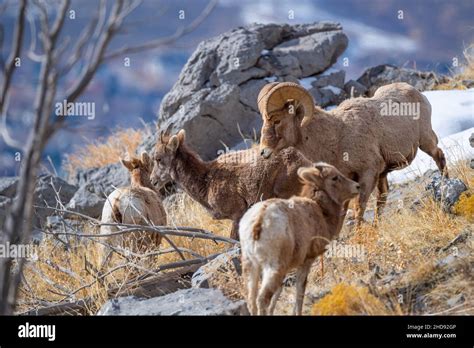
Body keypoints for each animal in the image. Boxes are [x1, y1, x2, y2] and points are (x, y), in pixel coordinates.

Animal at [241, 163, 360, 316]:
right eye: (334, 177)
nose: (357, 186)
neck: (321, 211)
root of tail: (259, 222)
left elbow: (279, 293)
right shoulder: (307, 261)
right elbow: (300, 291)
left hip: (251, 266)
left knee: (252, 301)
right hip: (273, 267)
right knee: (262, 299)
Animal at [260, 81, 448, 224]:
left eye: (277, 120)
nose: (263, 152)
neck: (336, 136)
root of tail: (416, 92)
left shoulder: (367, 174)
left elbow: (359, 207)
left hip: (425, 141)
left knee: (439, 156)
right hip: (384, 173)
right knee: (383, 197)